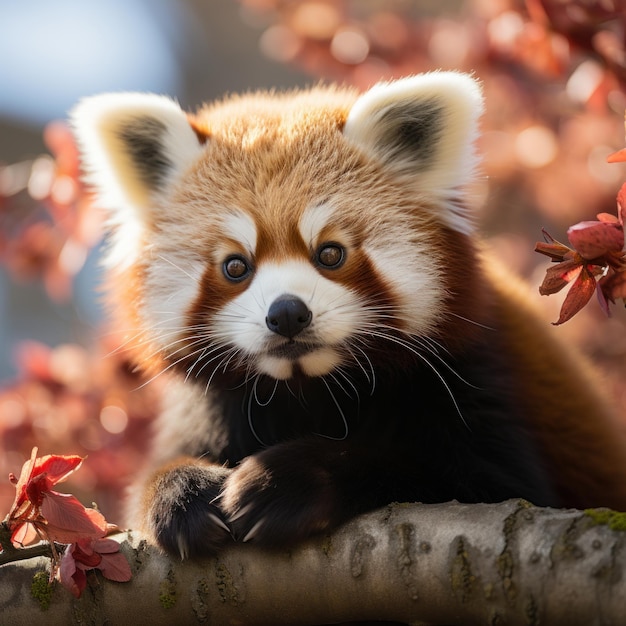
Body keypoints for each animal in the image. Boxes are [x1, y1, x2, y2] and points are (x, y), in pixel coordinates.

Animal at [70, 72, 624, 556]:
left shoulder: (477, 378)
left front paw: (289, 479)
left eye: (330, 253)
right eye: (235, 265)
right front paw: (181, 493)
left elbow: (470, 480)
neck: (311, 388)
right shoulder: (208, 407)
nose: (287, 314)